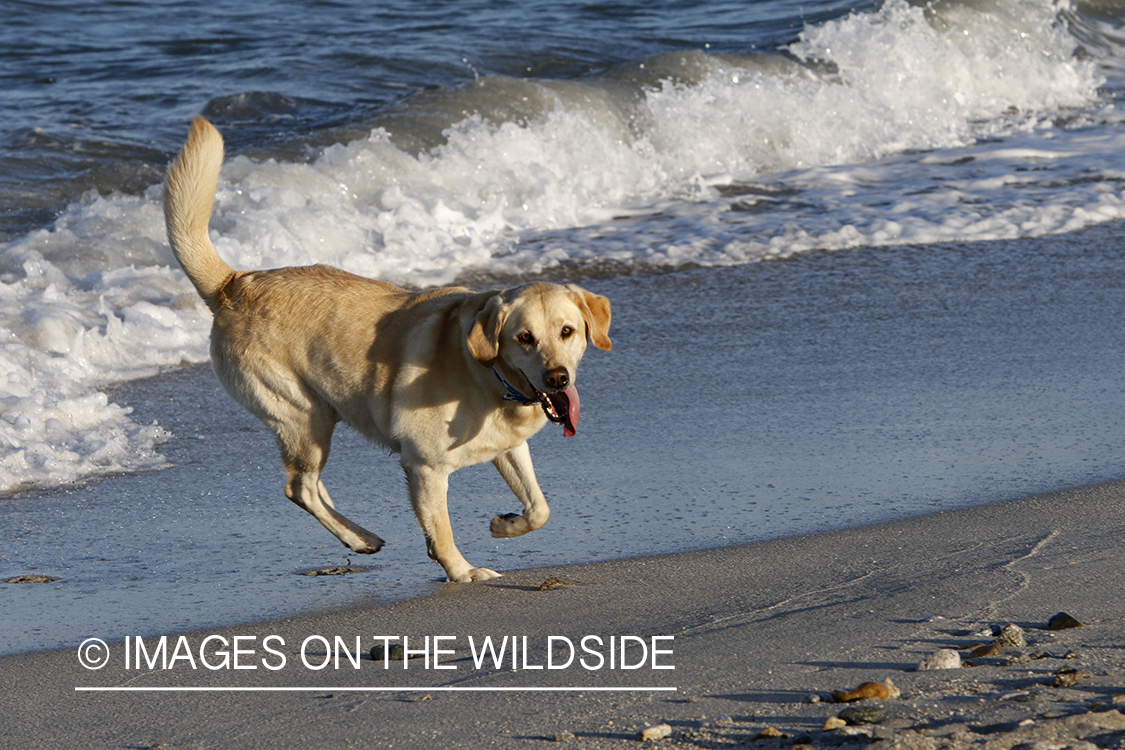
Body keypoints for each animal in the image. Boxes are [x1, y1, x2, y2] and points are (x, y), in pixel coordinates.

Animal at [163, 118, 612, 584]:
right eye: (524, 338)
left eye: (567, 332)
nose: (558, 378)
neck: (488, 377)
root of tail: (234, 284)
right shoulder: (425, 468)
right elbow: (442, 530)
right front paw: (462, 571)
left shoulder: (510, 446)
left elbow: (540, 506)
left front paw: (505, 525)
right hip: (303, 414)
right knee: (299, 487)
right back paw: (359, 537)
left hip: (315, 420)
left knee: (310, 484)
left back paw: (358, 534)